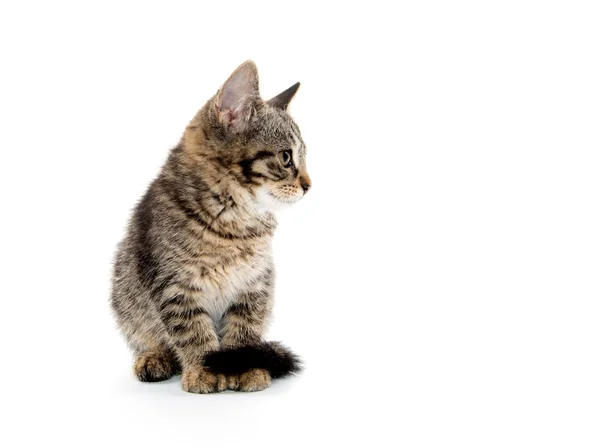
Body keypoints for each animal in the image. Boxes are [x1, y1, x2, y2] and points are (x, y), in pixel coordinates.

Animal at [110, 61, 312, 394]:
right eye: (286, 157)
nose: (309, 186)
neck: (234, 220)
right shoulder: (174, 286)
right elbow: (192, 329)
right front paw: (205, 368)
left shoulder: (255, 284)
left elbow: (244, 330)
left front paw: (244, 366)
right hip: (124, 295)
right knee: (144, 335)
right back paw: (154, 357)